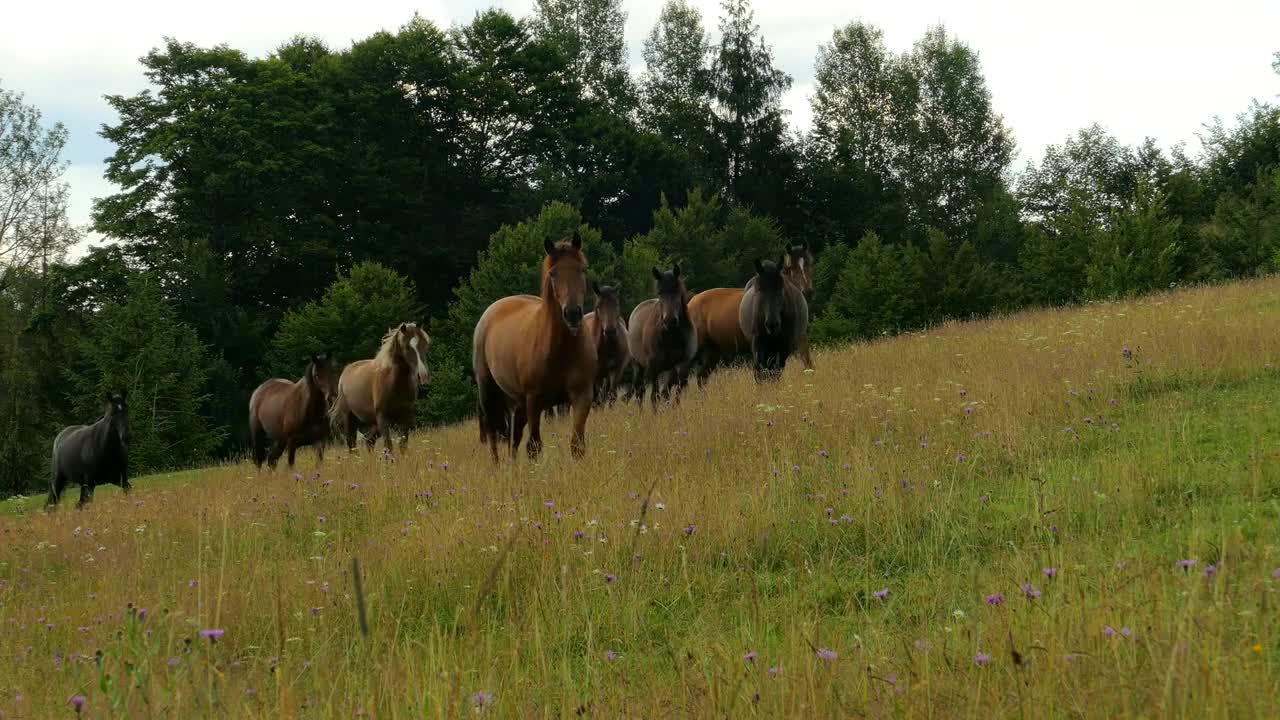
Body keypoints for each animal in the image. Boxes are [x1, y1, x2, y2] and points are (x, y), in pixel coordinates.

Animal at [327, 325, 432, 453]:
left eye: (425, 345)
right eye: (406, 347)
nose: (423, 376)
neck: (394, 384)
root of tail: (345, 373)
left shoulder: (405, 417)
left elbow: (403, 445)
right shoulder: (383, 418)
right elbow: (388, 446)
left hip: (372, 423)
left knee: (369, 441)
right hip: (349, 419)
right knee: (352, 445)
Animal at [473, 235, 596, 458]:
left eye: (582, 269)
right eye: (553, 273)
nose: (572, 314)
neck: (561, 350)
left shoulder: (582, 397)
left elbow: (577, 444)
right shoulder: (534, 401)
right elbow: (534, 446)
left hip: (516, 403)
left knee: (513, 438)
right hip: (489, 393)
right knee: (494, 435)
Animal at [624, 263, 696, 409]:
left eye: (677, 291)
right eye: (659, 293)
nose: (669, 321)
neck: (671, 336)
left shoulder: (680, 365)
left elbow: (674, 394)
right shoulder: (654, 367)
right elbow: (654, 397)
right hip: (638, 367)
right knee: (640, 393)